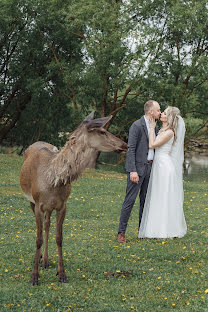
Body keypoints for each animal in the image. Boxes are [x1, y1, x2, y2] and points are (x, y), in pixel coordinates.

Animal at [20, 112, 128, 286]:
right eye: (102, 131)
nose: (125, 145)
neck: (53, 181)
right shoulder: (38, 204)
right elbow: (38, 239)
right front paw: (34, 277)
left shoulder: (62, 205)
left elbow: (59, 238)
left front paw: (62, 274)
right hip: (31, 200)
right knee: (43, 227)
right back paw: (41, 259)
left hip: (50, 208)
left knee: (47, 225)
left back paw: (46, 261)